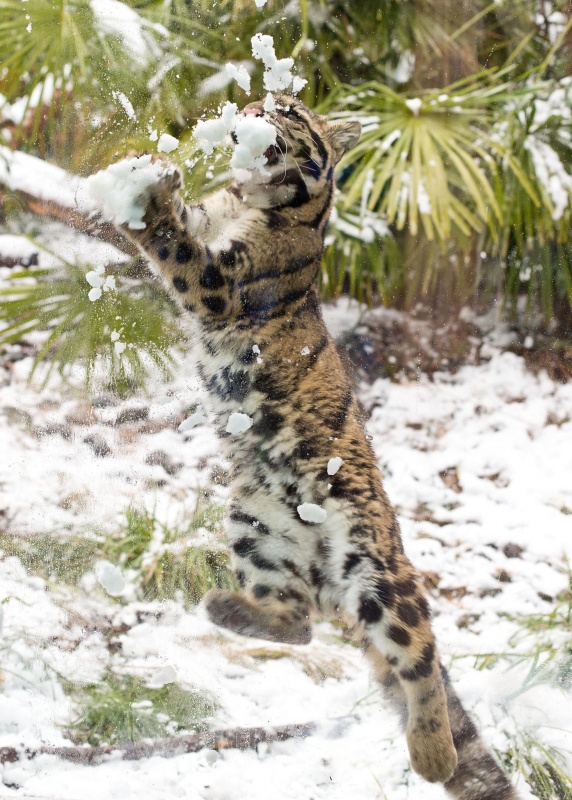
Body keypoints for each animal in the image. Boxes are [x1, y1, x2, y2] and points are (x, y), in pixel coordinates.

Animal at [118, 97, 520, 796]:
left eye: (288, 110)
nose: (253, 108)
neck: (252, 199)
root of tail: (335, 592)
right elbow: (178, 230)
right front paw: (150, 174)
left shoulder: (221, 283)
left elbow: (176, 246)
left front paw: (152, 193)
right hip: (254, 528)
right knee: (299, 625)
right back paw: (229, 608)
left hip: (381, 571)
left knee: (422, 658)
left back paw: (433, 755)